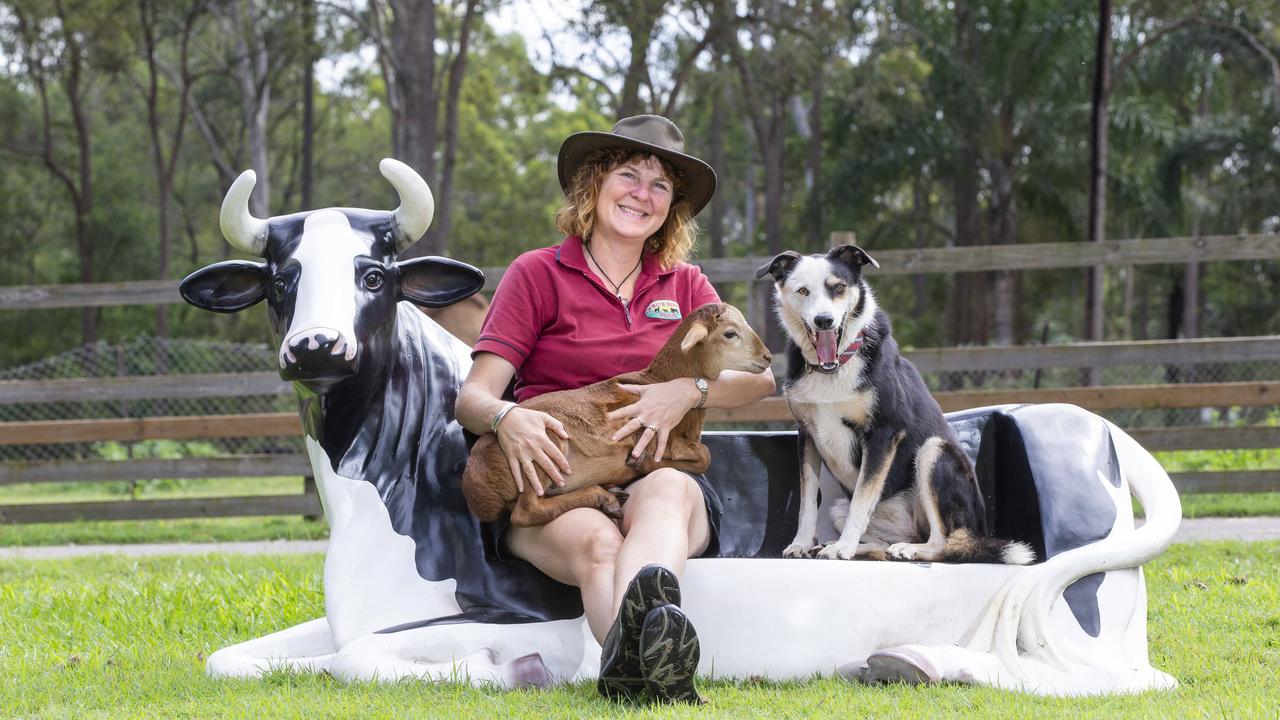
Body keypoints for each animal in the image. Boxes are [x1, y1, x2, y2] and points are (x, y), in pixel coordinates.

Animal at [752, 243, 1034, 563]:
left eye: (838, 287)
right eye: (802, 291)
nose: (824, 321)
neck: (834, 366)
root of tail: (979, 532)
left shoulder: (883, 433)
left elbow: (862, 499)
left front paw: (843, 548)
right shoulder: (807, 434)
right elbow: (808, 501)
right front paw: (801, 543)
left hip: (933, 452)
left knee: (942, 542)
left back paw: (906, 549)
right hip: (842, 508)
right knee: (881, 546)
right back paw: (845, 545)